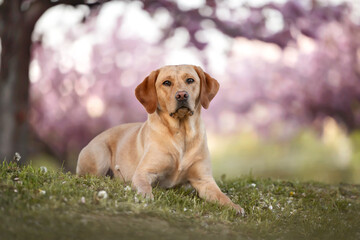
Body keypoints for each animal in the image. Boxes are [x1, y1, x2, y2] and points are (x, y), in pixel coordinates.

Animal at [77, 64, 243, 215]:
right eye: (166, 82)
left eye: (190, 80)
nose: (182, 95)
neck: (181, 132)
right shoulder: (143, 172)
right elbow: (144, 187)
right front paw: (146, 198)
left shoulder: (204, 179)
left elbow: (221, 196)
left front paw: (234, 207)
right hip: (100, 154)